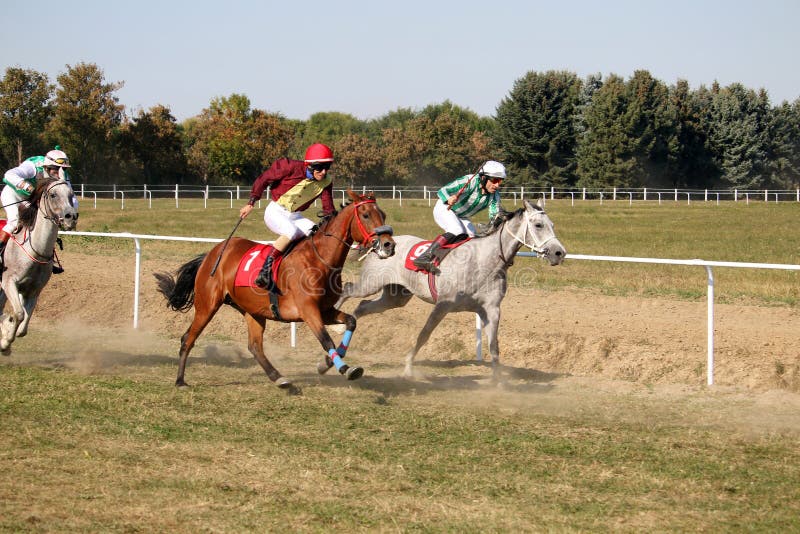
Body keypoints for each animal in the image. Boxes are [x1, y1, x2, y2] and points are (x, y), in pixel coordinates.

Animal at [0, 177, 78, 356]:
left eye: (71, 194)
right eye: (53, 194)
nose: (71, 217)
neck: (36, 250)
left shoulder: (34, 291)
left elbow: (23, 328)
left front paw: (6, 334)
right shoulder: (9, 281)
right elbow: (19, 314)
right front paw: (5, 342)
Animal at [155, 191, 396, 392]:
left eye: (383, 214)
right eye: (366, 215)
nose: (389, 245)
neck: (319, 259)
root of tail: (212, 253)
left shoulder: (325, 310)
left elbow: (351, 323)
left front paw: (326, 363)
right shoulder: (308, 311)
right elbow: (326, 339)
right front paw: (346, 369)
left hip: (252, 311)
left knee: (254, 346)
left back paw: (280, 379)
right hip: (207, 305)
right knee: (188, 338)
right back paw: (180, 380)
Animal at [334, 199, 564, 378]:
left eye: (552, 224)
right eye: (538, 225)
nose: (559, 253)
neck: (483, 262)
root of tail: (378, 242)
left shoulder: (491, 309)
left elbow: (494, 346)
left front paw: (499, 382)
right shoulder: (442, 305)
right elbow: (424, 335)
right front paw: (408, 368)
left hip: (395, 297)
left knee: (363, 306)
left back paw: (345, 326)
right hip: (371, 283)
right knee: (347, 289)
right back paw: (336, 323)